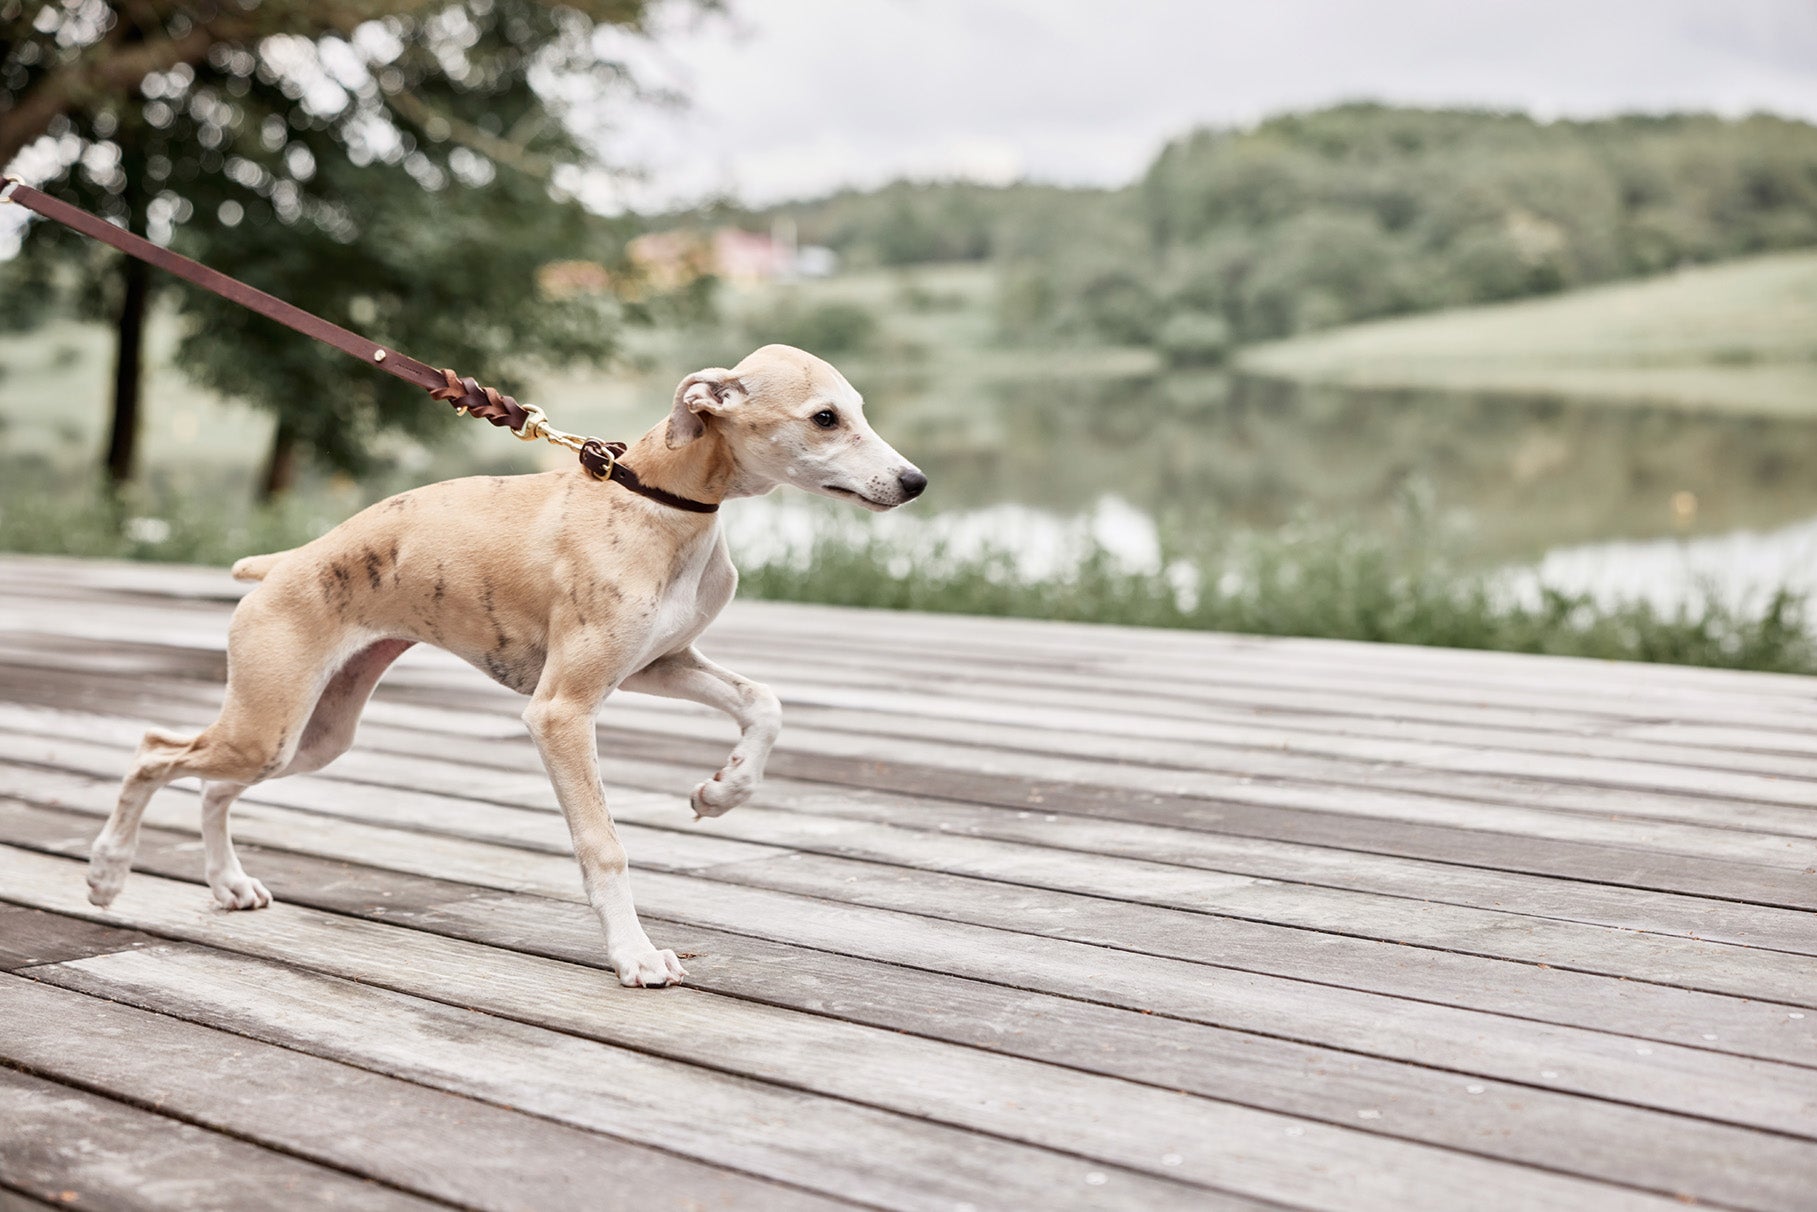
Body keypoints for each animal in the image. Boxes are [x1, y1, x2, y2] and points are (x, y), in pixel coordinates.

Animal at [86, 341, 930, 988]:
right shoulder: (561, 709)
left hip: (310, 736)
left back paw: (228, 884)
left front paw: (722, 791)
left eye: (858, 409)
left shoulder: (657, 664)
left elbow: (763, 702)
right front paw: (634, 957)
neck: (655, 498)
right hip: (270, 721)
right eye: (825, 417)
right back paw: (107, 871)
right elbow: (604, 845)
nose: (915, 482)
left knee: (211, 786)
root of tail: (283, 563)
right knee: (154, 752)